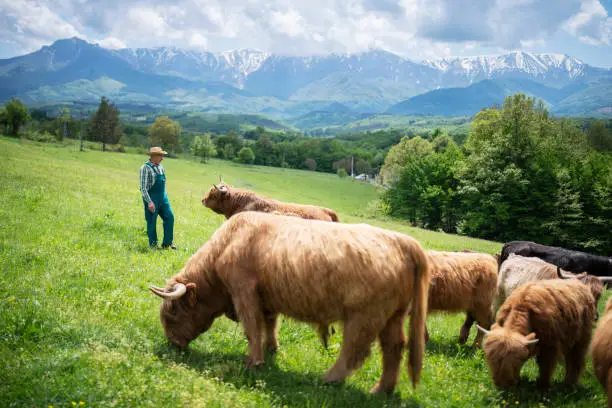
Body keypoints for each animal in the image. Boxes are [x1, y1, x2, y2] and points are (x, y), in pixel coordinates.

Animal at [149, 210, 430, 392]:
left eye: (172, 313)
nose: (172, 343)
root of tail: (403, 241)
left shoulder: (244, 291)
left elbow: (252, 328)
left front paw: (254, 362)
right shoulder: (266, 298)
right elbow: (269, 324)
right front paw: (272, 349)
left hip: (364, 316)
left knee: (355, 350)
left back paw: (329, 379)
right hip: (393, 316)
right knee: (394, 348)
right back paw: (382, 389)